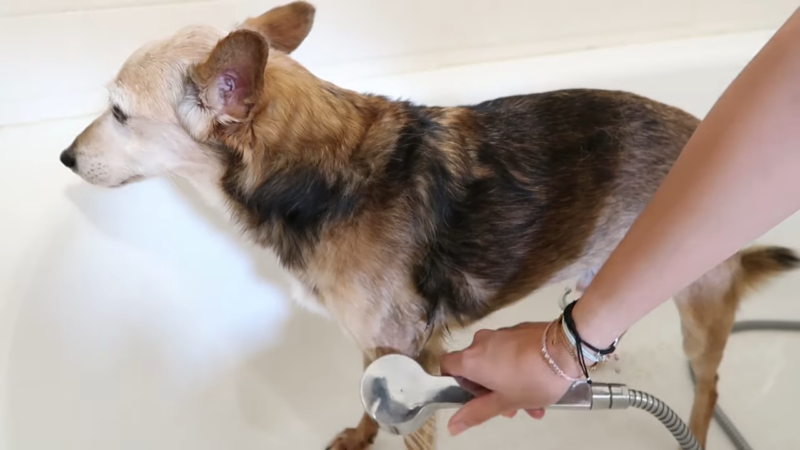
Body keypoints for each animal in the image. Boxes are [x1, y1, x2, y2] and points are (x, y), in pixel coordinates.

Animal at [59, 1, 796, 448]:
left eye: (119, 113)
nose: (64, 156)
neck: (325, 175)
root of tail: (697, 126)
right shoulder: (377, 347)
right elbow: (365, 404)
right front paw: (357, 437)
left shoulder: (412, 357)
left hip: (701, 306)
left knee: (708, 384)